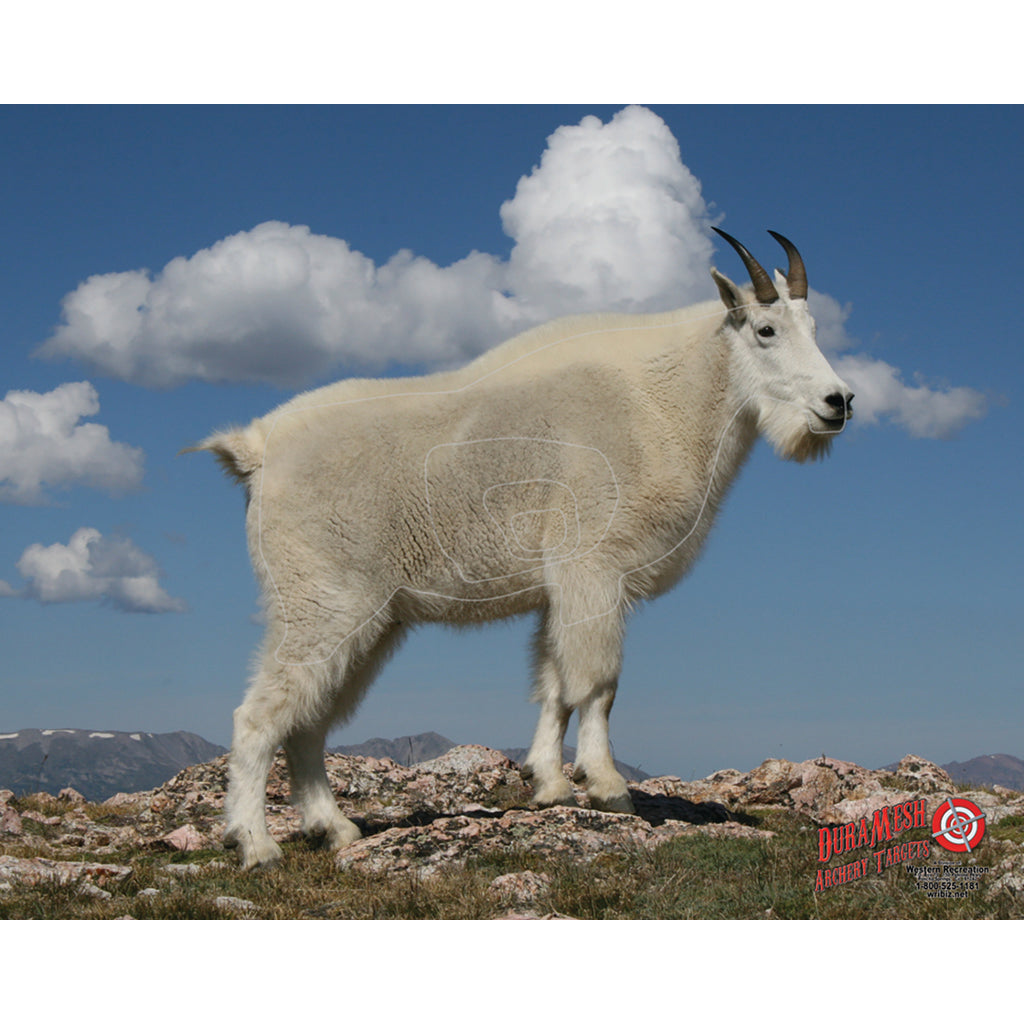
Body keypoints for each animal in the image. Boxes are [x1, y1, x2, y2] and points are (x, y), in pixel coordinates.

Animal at [186, 229, 853, 868]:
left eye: (816, 329)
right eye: (766, 330)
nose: (838, 402)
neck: (665, 400)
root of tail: (257, 450)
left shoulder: (562, 588)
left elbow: (554, 683)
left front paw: (549, 786)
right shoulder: (593, 567)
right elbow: (598, 683)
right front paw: (609, 788)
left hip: (370, 619)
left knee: (310, 720)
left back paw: (335, 829)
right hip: (324, 601)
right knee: (260, 716)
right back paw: (256, 846)